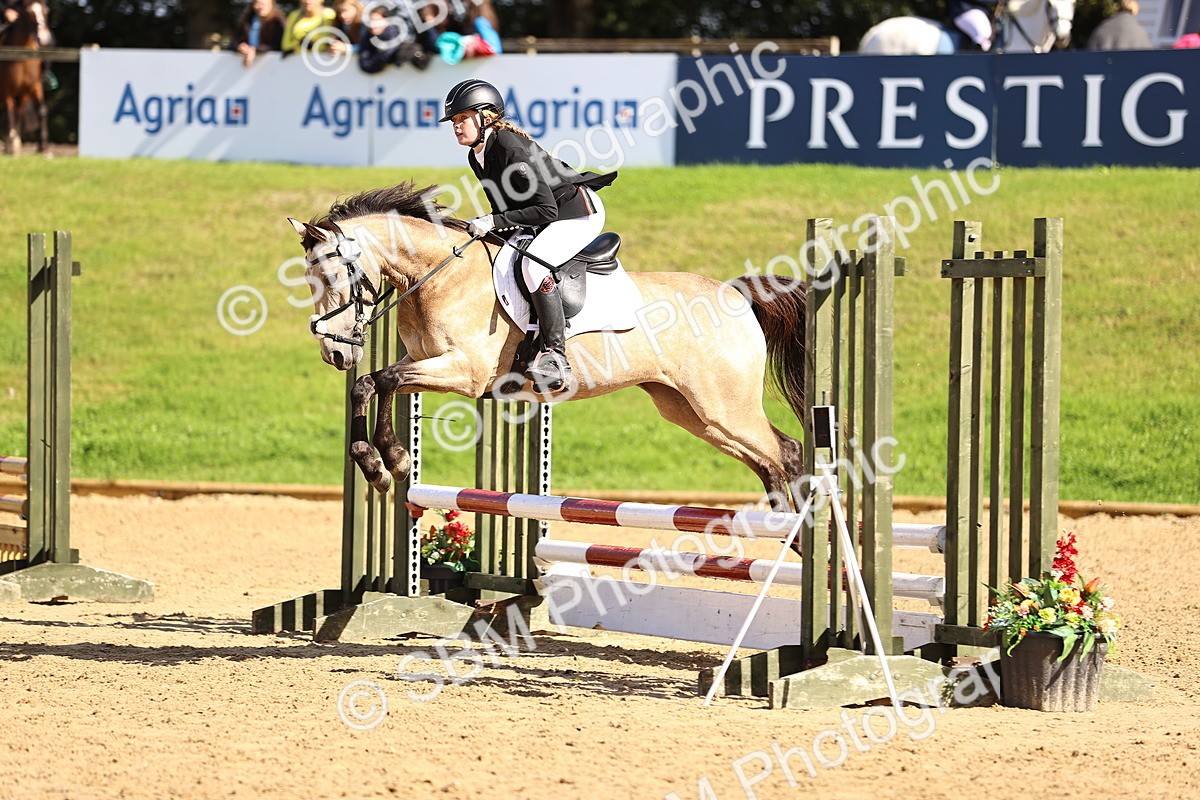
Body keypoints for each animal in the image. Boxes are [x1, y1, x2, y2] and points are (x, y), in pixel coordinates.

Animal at [0, 0, 50, 155]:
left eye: (47, 10)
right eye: (29, 12)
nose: (44, 37)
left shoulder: (32, 88)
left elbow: (41, 110)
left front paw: (43, 147)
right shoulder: (7, 92)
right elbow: (9, 116)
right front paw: (10, 147)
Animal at [287, 182, 809, 511]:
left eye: (331, 276)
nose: (335, 353)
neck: (439, 274)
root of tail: (735, 294)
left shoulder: (464, 372)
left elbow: (383, 379)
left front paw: (388, 458)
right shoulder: (425, 360)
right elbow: (374, 385)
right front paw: (382, 464)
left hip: (724, 405)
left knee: (785, 453)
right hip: (691, 412)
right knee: (769, 460)